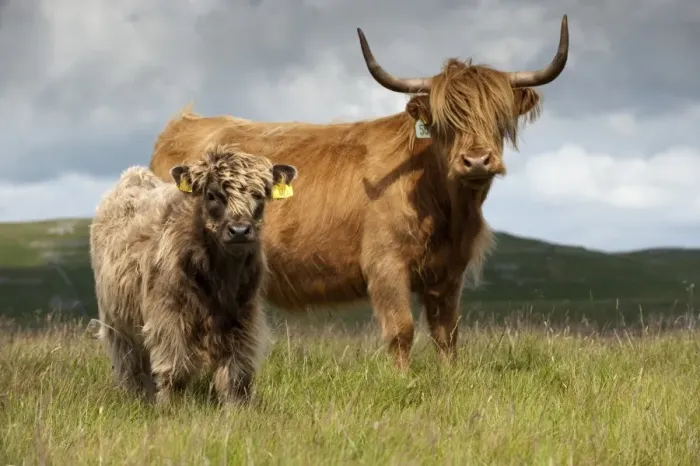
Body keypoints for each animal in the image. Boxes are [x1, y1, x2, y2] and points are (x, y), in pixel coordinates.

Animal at [90, 144, 298, 404]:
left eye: (259, 195)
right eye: (212, 195)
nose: (240, 230)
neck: (220, 276)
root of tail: (133, 175)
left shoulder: (243, 318)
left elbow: (237, 371)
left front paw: (237, 407)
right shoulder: (169, 316)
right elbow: (176, 368)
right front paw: (171, 406)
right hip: (115, 318)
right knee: (129, 361)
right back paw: (137, 396)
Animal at [148, 16, 569, 371]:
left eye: (499, 117)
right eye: (445, 122)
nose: (477, 160)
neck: (446, 207)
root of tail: (180, 125)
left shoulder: (450, 272)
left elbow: (447, 335)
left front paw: (451, 378)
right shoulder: (385, 264)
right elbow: (401, 330)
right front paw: (404, 380)